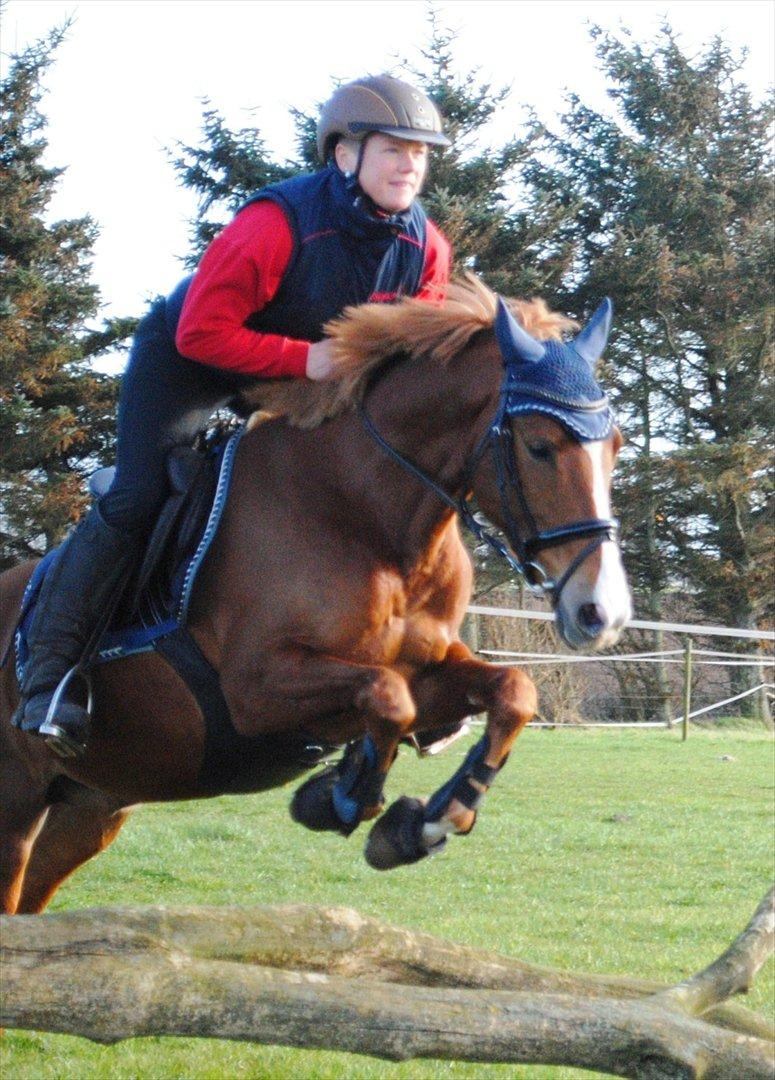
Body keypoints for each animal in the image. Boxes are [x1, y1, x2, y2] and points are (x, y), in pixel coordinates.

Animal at [0, 277, 631, 914]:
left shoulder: (429, 670)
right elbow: (387, 696)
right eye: (539, 447)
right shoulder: (255, 690)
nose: (600, 613)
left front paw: (427, 820)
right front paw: (341, 796)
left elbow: (510, 691)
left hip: (91, 804)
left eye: (617, 446)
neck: (370, 521)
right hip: (18, 804)